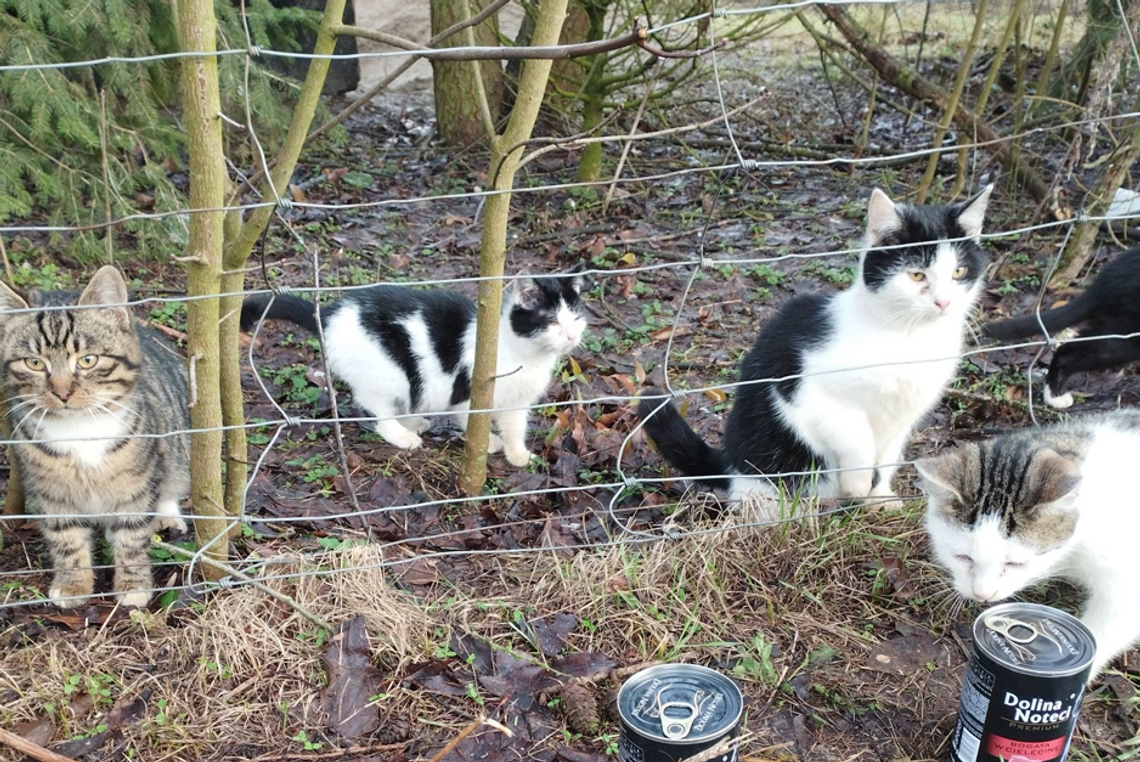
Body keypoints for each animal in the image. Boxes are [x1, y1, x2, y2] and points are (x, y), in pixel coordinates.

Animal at [0, 266, 189, 606]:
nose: (62, 392)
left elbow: (132, 535)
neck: (79, 430)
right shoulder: (52, 491)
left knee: (171, 479)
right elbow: (66, 537)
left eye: (87, 360)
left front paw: (133, 585)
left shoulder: (134, 485)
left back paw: (167, 513)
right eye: (34, 362)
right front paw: (73, 583)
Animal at [235, 264, 583, 467]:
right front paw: (488, 442)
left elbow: (515, 426)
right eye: (552, 321)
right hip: (386, 372)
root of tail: (331, 313)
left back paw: (413, 423)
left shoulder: (517, 402)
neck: (522, 352)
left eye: (576, 318)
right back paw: (402, 436)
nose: (571, 336)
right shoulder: (468, 391)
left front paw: (517, 453)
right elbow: (469, 418)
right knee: (374, 408)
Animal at [638, 187, 994, 515]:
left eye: (959, 272)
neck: (908, 335)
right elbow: (856, 437)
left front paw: (877, 497)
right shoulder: (805, 392)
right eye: (917, 274)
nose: (943, 302)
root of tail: (730, 461)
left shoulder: (904, 415)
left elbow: (886, 455)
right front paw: (858, 483)